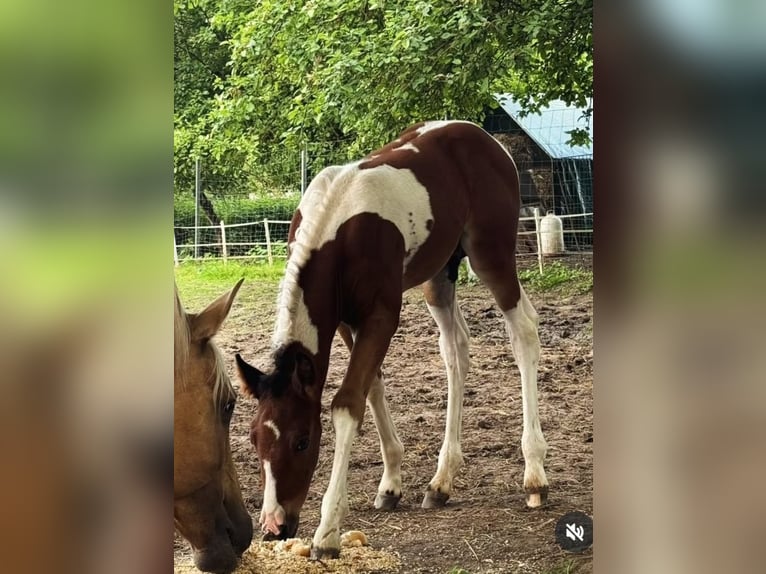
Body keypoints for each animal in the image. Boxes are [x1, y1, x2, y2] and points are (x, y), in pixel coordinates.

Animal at [235, 120, 549, 559]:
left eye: (302, 441)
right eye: (254, 439)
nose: (275, 526)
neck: (336, 228)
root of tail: (488, 140)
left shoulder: (382, 315)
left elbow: (348, 401)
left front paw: (327, 531)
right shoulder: (347, 321)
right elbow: (372, 386)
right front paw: (390, 485)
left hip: (492, 254)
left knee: (524, 331)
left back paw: (535, 475)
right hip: (440, 275)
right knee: (456, 350)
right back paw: (441, 481)